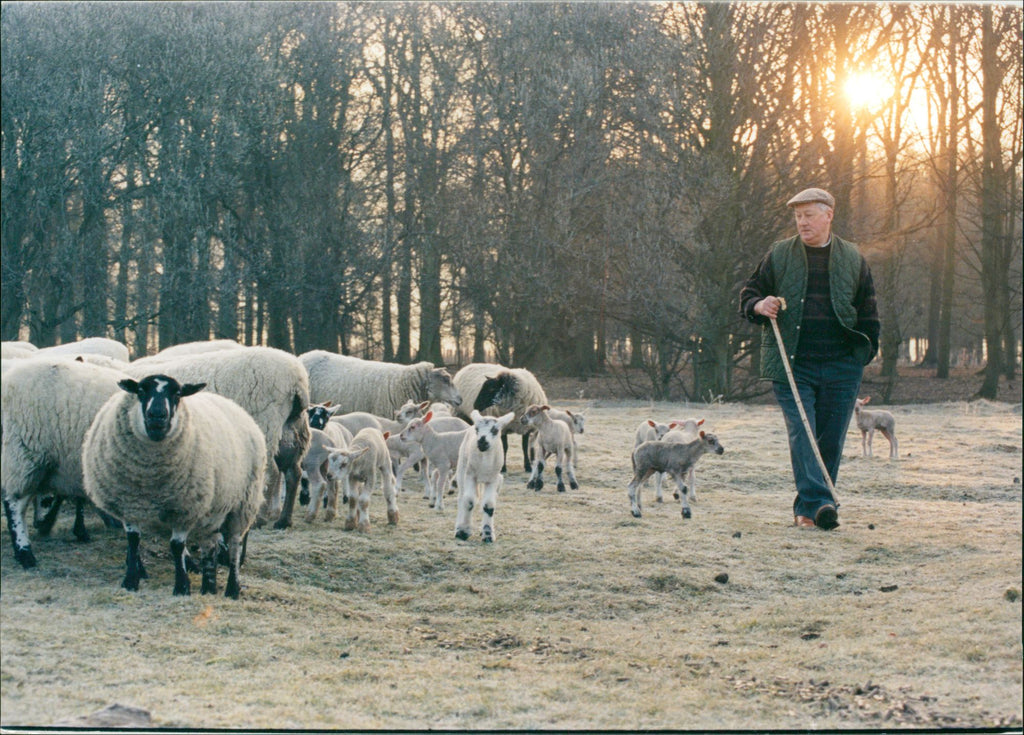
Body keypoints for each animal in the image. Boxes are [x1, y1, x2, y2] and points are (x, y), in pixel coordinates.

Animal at [82, 374, 265, 598]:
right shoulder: (129, 506)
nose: (157, 416)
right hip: (212, 511)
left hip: (243, 504)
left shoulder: (184, 509)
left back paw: (232, 588)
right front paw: (130, 581)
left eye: (177, 394)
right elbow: (133, 541)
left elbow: (177, 547)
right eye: (140, 391)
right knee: (209, 545)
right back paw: (208, 587)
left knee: (234, 545)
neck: (149, 477)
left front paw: (181, 587)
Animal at [125, 346, 311, 530]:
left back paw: (259, 519)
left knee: (271, 472)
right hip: (291, 430)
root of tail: (298, 379)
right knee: (293, 472)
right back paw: (283, 520)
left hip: (266, 425)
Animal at [454, 410, 516, 543]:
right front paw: (463, 531)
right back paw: (458, 526)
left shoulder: (492, 479)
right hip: (462, 468)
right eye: (477, 429)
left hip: (497, 478)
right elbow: (469, 501)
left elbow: (489, 505)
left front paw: (488, 534)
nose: (482, 442)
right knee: (461, 497)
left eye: (495, 430)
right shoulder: (470, 475)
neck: (484, 463)